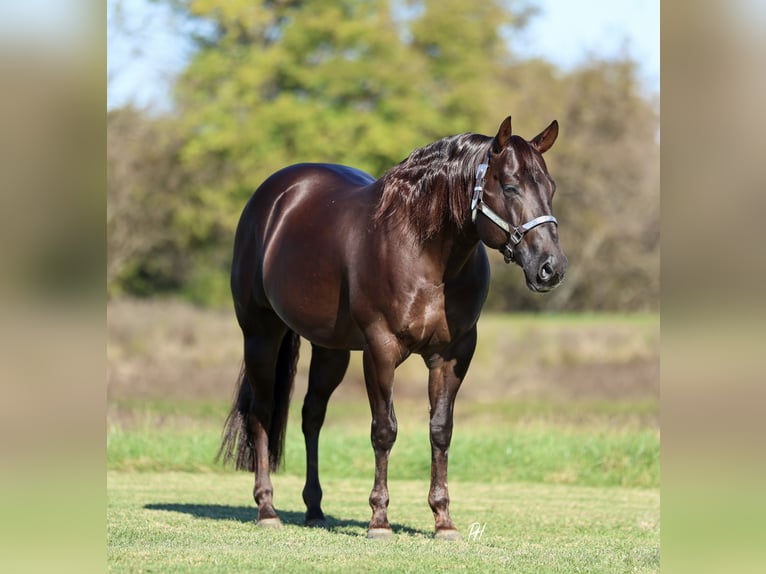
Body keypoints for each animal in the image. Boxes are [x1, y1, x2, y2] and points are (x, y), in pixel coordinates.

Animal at [218, 115, 567, 540]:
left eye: (550, 187)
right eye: (511, 185)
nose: (551, 268)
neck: (423, 251)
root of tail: (273, 198)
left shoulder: (453, 355)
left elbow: (440, 430)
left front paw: (443, 520)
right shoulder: (380, 349)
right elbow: (384, 430)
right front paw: (379, 520)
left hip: (330, 349)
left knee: (311, 415)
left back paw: (314, 508)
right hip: (260, 335)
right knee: (262, 413)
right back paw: (267, 508)